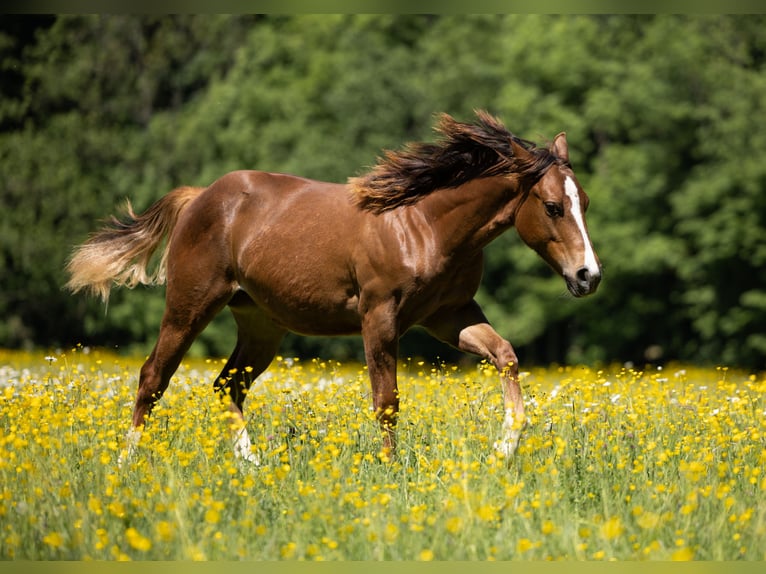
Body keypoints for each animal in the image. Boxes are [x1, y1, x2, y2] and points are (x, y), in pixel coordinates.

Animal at [66, 110, 601, 465]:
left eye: (586, 201)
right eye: (553, 206)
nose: (588, 276)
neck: (424, 224)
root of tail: (200, 197)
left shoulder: (450, 315)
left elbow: (505, 355)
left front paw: (504, 448)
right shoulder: (379, 316)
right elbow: (387, 402)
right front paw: (389, 469)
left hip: (260, 325)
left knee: (227, 385)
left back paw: (252, 465)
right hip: (189, 306)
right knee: (153, 377)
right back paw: (126, 463)